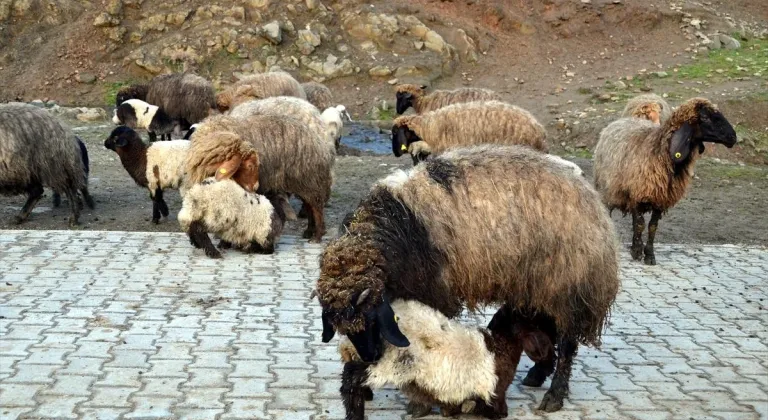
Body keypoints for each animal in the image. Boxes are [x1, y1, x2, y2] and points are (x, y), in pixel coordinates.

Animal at [186, 113, 332, 241]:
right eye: (249, 165)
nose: (256, 186)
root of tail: (319, 143)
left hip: (309, 179)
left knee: (316, 207)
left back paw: (317, 236)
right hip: (305, 181)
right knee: (309, 205)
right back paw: (309, 231)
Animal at [336, 300, 552, 418]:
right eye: (533, 322)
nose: (547, 352)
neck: (500, 346)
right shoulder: (494, 392)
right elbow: (496, 412)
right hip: (391, 363)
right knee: (351, 376)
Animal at [592, 96, 736, 264]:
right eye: (705, 117)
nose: (733, 137)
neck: (659, 151)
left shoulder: (660, 197)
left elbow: (652, 226)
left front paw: (648, 254)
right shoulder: (637, 193)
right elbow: (640, 225)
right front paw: (638, 252)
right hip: (608, 189)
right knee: (610, 213)